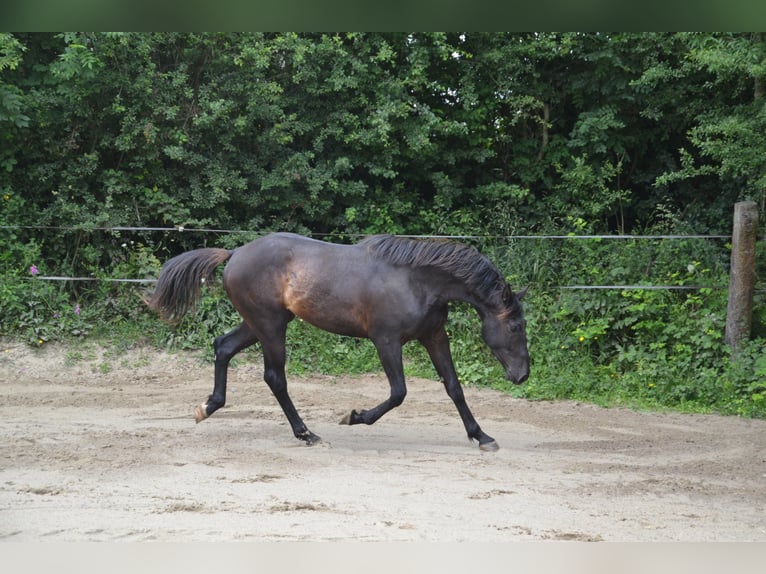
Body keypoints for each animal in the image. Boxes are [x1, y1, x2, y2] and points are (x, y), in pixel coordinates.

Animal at [146, 232, 528, 452]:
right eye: (515, 326)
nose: (522, 375)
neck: (416, 281)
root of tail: (234, 253)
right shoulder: (386, 341)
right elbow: (398, 393)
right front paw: (354, 416)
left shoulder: (433, 336)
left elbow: (454, 387)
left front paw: (482, 436)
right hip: (270, 327)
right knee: (275, 378)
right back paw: (307, 434)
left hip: (260, 323)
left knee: (223, 347)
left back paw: (207, 407)